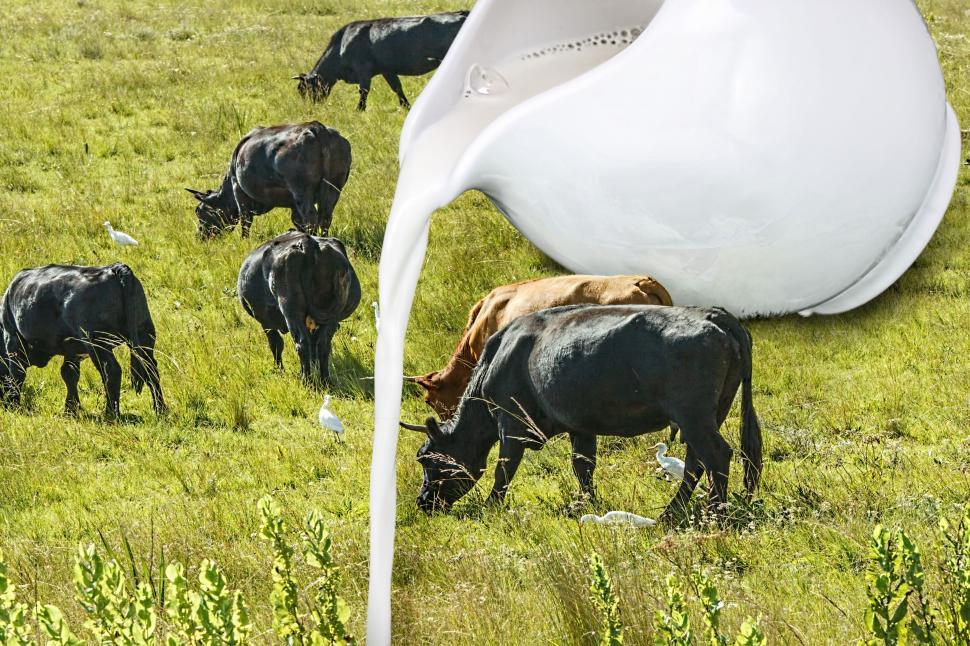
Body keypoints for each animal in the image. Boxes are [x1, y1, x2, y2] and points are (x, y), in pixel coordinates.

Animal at [0, 264, 165, 419]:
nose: (4, 404)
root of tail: (113, 268)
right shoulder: (72, 351)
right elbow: (69, 374)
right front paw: (70, 409)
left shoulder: (13, 339)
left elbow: (17, 374)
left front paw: (13, 406)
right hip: (144, 334)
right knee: (151, 369)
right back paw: (160, 409)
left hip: (97, 342)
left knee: (111, 371)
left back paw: (111, 413)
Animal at [186, 122, 351, 239]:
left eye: (199, 211)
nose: (199, 236)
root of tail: (317, 128)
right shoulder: (293, 204)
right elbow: (296, 220)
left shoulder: (238, 189)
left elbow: (245, 219)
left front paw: (244, 240)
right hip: (334, 187)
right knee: (325, 217)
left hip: (302, 191)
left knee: (311, 217)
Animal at [237, 231, 361, 385]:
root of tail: (307, 243)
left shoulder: (265, 322)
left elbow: (276, 344)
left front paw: (280, 371)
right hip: (332, 315)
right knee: (322, 344)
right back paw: (325, 380)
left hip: (291, 312)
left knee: (301, 344)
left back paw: (306, 380)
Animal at [293, 12, 468, 111]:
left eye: (304, 89)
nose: (309, 110)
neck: (342, 44)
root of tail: (462, 13)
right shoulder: (387, 71)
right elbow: (397, 88)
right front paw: (407, 107)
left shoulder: (363, 71)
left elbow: (363, 91)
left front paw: (359, 110)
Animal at [402, 305, 762, 520]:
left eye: (426, 459)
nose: (422, 502)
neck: (496, 358)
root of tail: (713, 314)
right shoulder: (580, 426)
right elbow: (583, 467)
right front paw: (586, 502)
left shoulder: (511, 424)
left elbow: (504, 469)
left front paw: (492, 507)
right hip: (709, 413)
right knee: (696, 462)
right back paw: (673, 513)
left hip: (694, 415)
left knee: (716, 455)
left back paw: (716, 513)